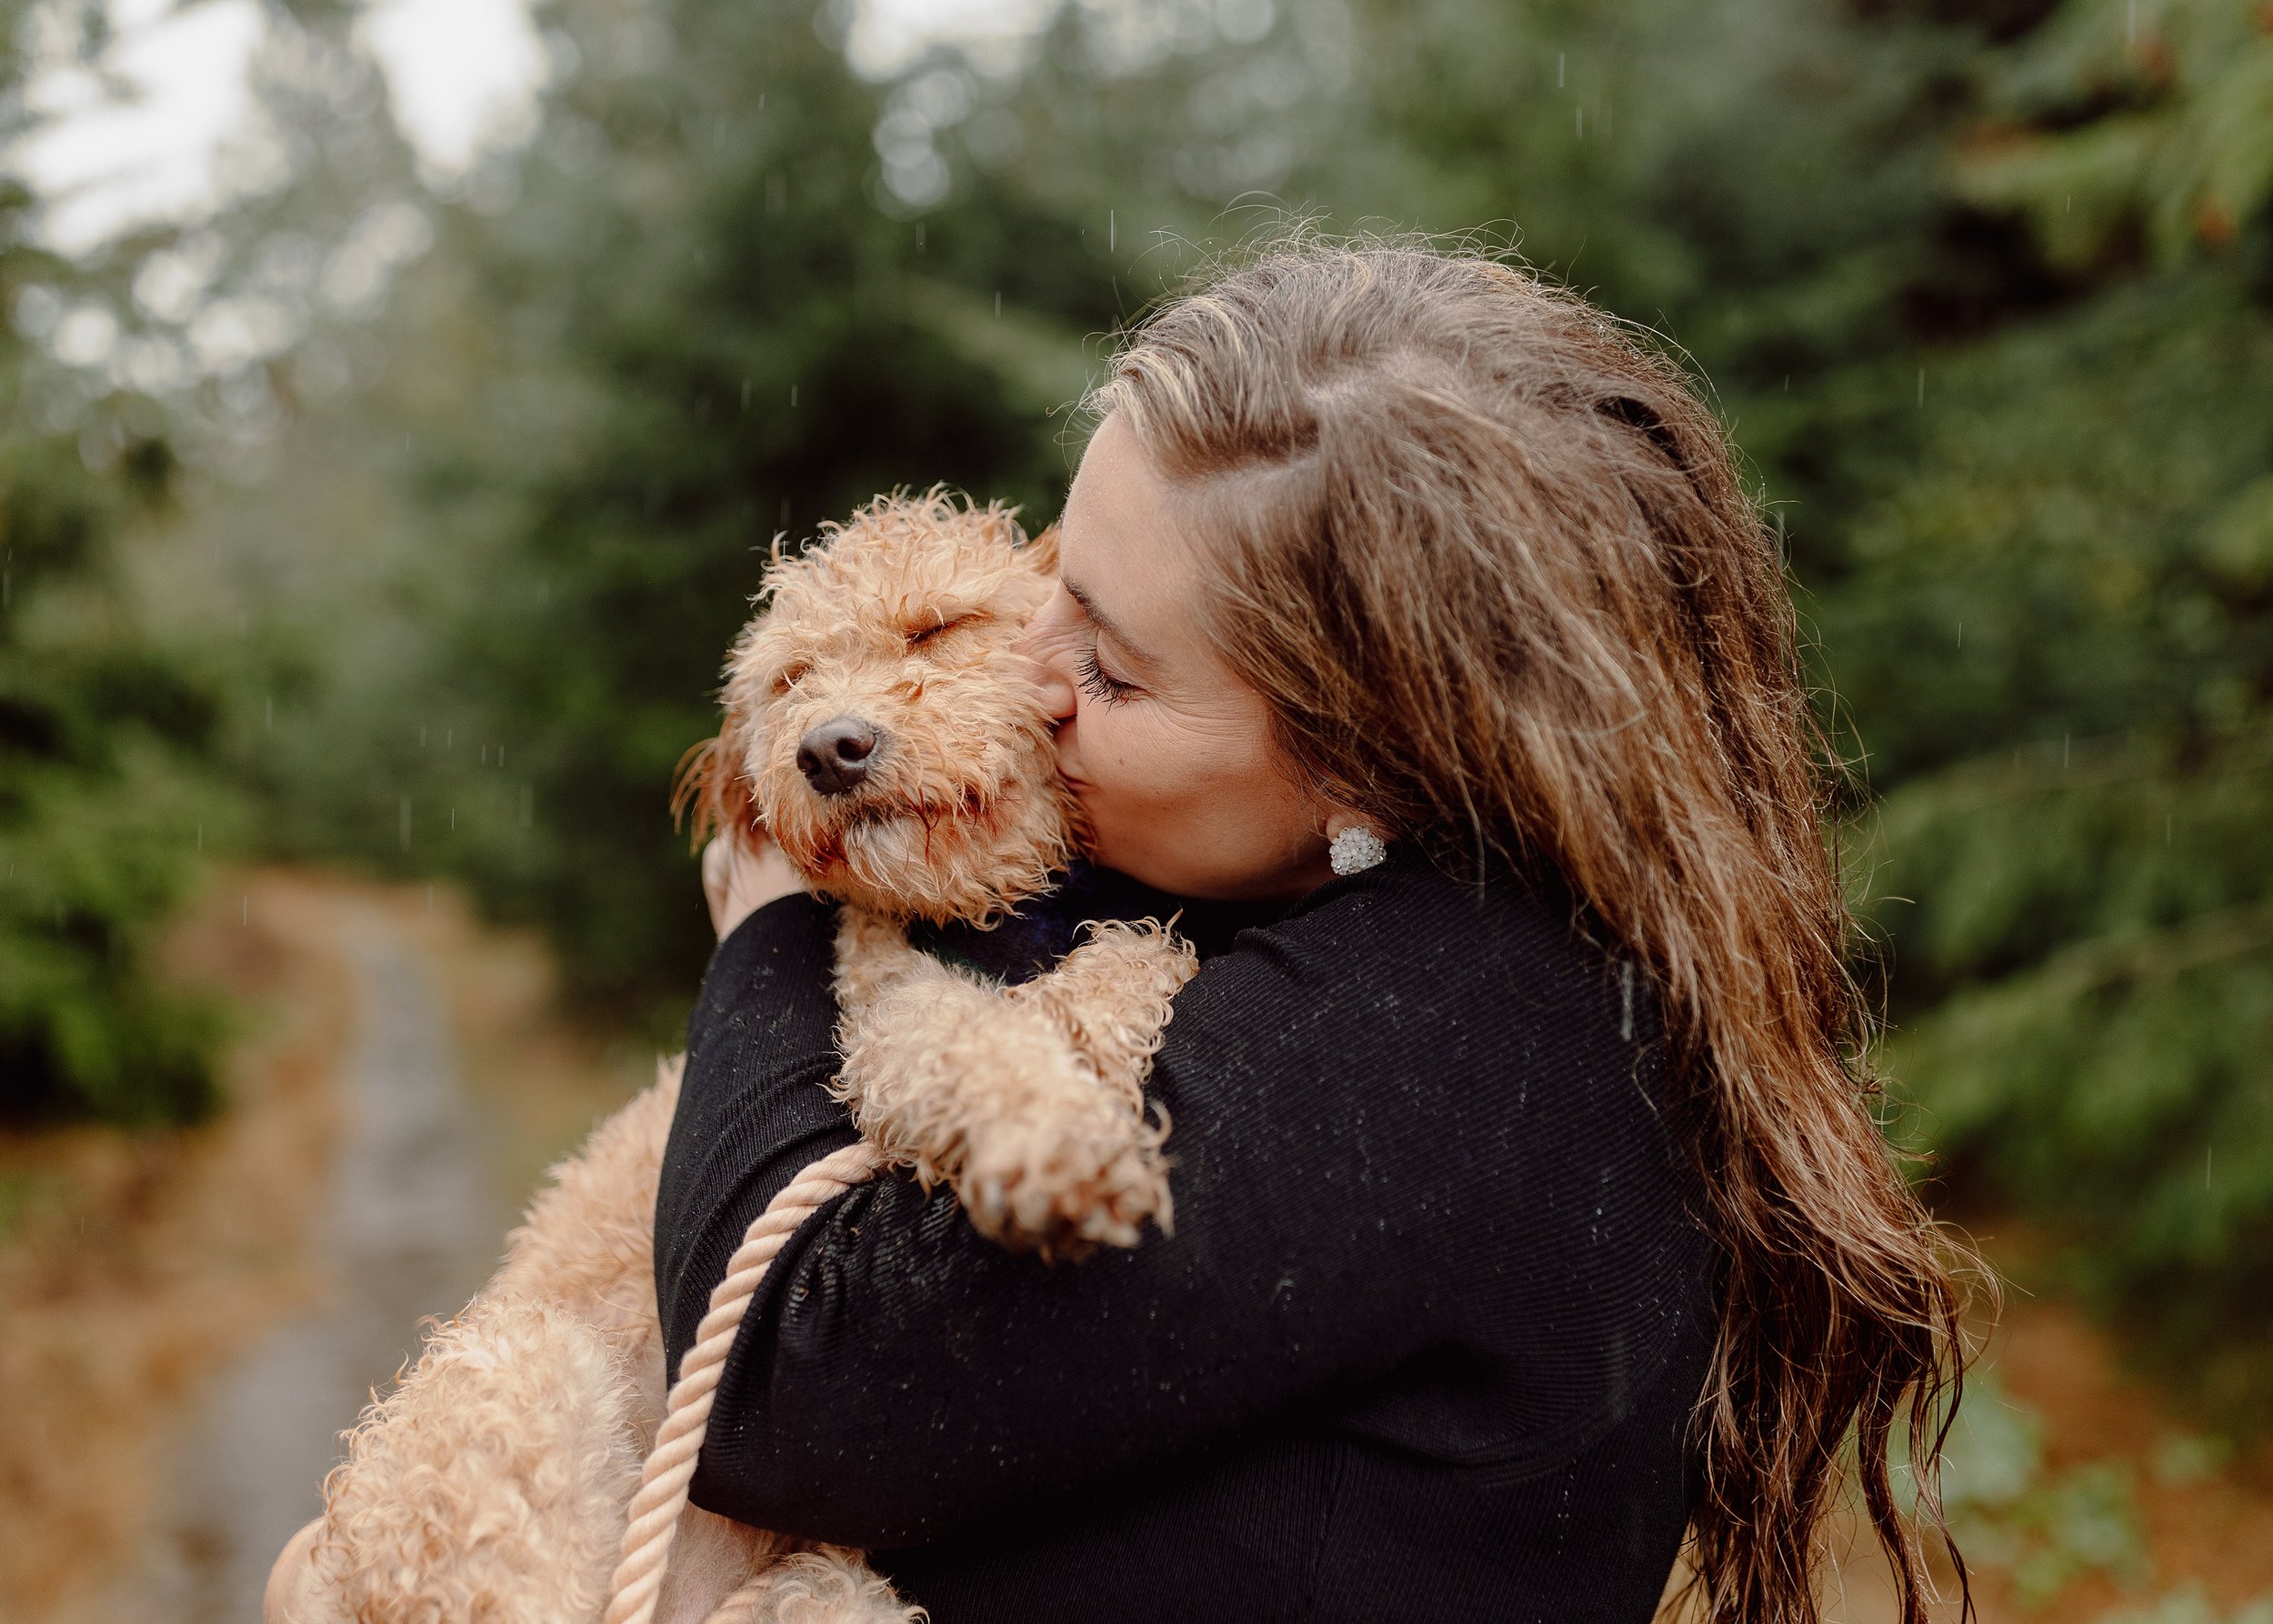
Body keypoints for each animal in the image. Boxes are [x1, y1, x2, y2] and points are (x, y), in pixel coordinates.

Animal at [275, 493, 1200, 1619]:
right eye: (791, 679)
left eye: (937, 627)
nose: (828, 748)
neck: (991, 921)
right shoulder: (885, 1024)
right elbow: (976, 1043)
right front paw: (1058, 1143)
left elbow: (1133, 958)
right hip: (510, 1376)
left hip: (830, 1585)